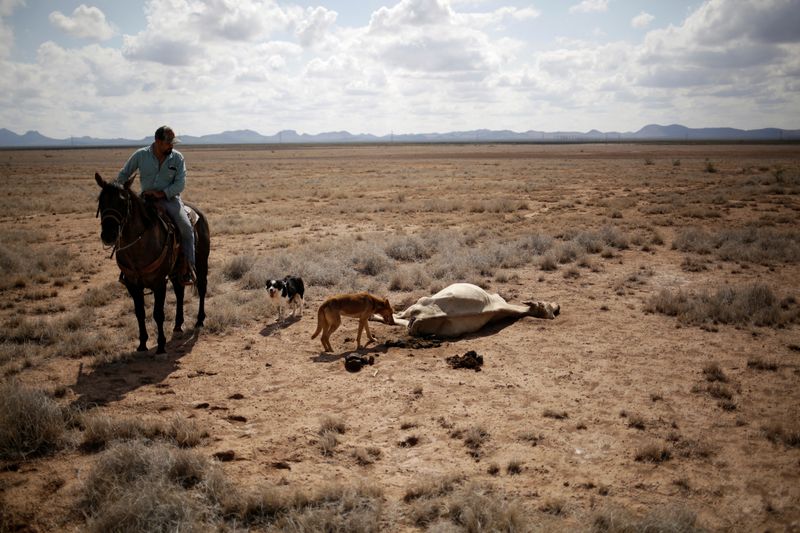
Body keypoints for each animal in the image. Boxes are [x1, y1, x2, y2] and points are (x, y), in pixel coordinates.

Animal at [94, 171, 209, 354]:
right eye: (101, 200)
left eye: (123, 201)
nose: (109, 235)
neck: (139, 245)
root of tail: (199, 213)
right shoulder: (132, 284)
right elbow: (139, 312)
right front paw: (142, 344)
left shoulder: (159, 282)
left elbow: (158, 314)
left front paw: (161, 346)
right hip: (175, 270)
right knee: (179, 291)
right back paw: (178, 324)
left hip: (201, 261)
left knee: (202, 287)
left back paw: (199, 320)